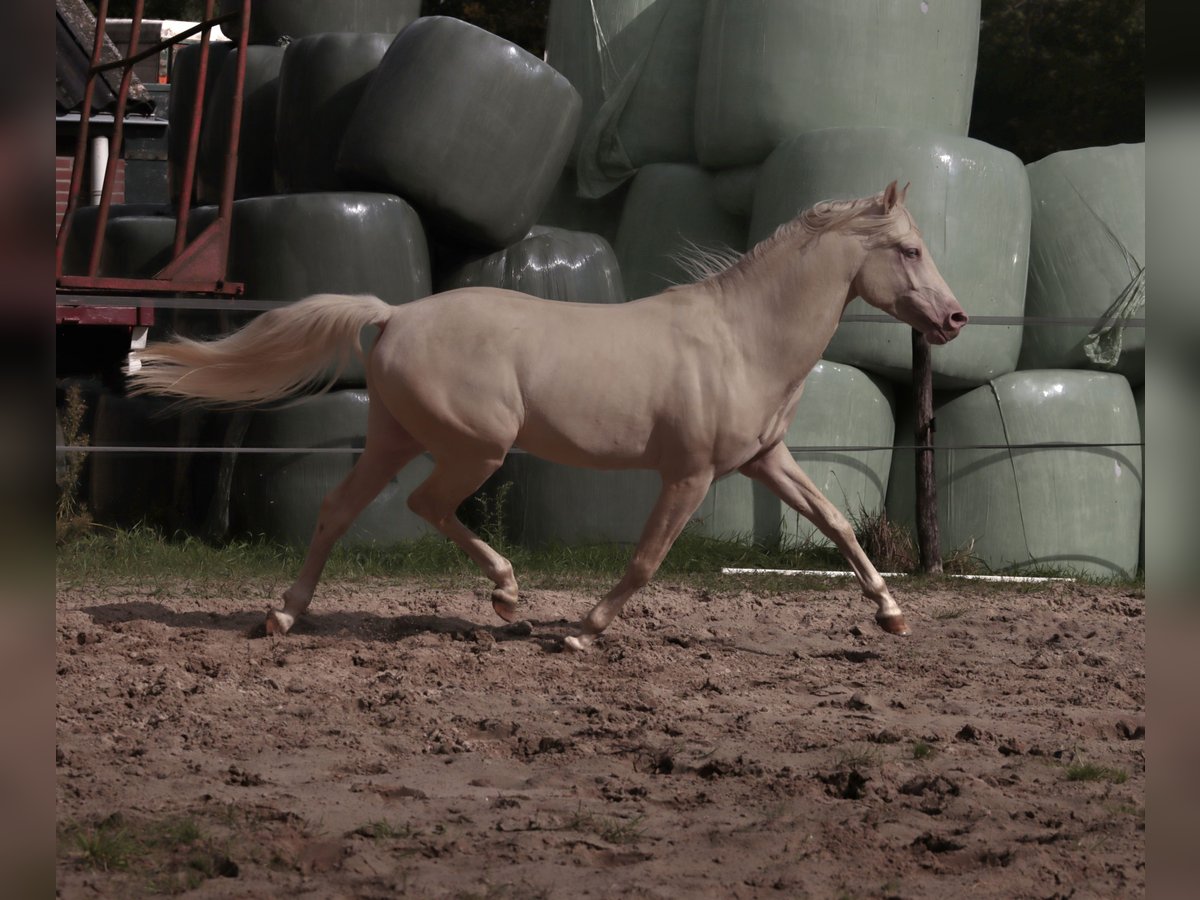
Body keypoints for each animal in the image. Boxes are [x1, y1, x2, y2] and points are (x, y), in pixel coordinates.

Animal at [129, 181, 964, 648]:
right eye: (911, 250)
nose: (954, 318)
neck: (742, 338)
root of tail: (394, 315)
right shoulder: (690, 475)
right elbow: (646, 558)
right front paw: (583, 633)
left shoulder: (766, 460)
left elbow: (838, 524)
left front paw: (892, 614)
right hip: (476, 447)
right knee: (424, 505)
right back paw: (506, 598)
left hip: (395, 438)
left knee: (337, 510)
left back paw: (285, 616)